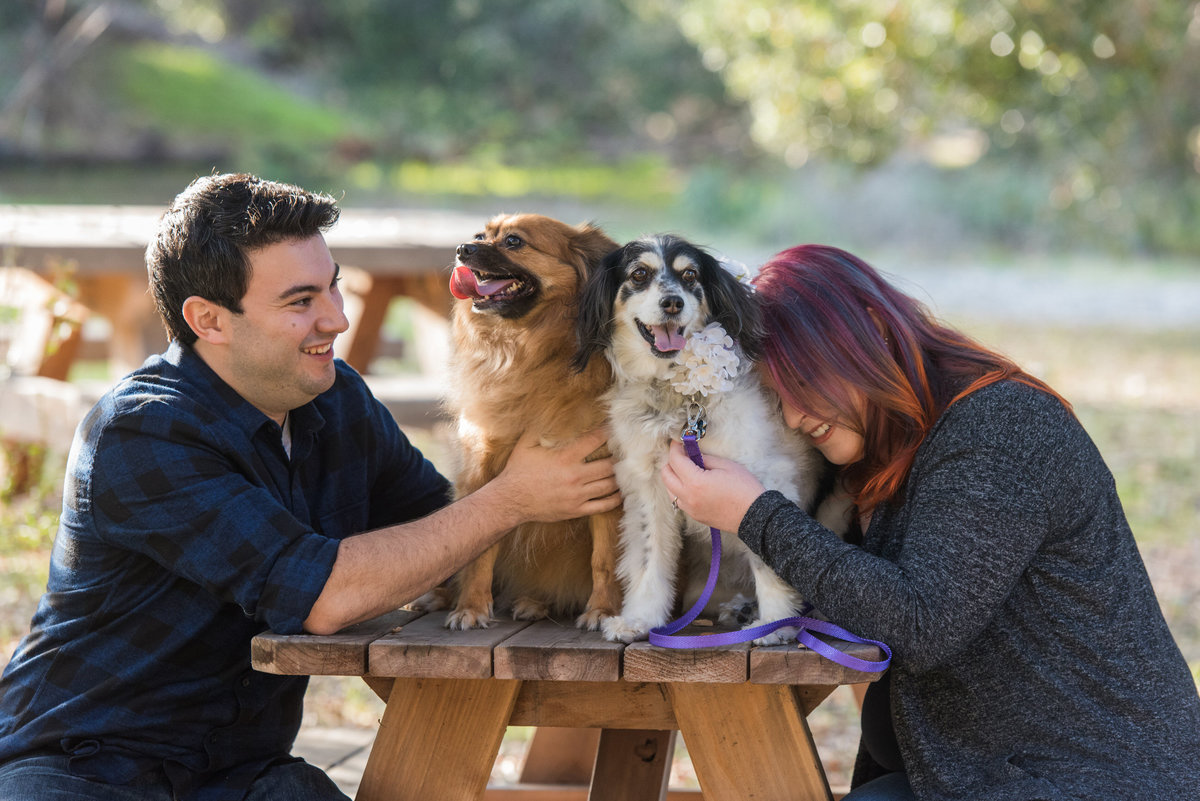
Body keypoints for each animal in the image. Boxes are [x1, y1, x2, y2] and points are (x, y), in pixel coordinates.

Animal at [439, 214, 624, 633]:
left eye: (513, 241)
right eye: (480, 235)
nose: (462, 249)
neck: (531, 352)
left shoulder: (608, 479)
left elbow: (606, 558)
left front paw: (605, 610)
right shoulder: (483, 470)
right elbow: (480, 552)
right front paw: (471, 606)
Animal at [573, 232, 844, 642]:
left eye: (690, 275)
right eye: (639, 274)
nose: (672, 302)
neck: (679, 402)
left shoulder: (763, 478)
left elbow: (768, 558)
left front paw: (776, 623)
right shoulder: (649, 487)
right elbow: (650, 561)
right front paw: (641, 619)